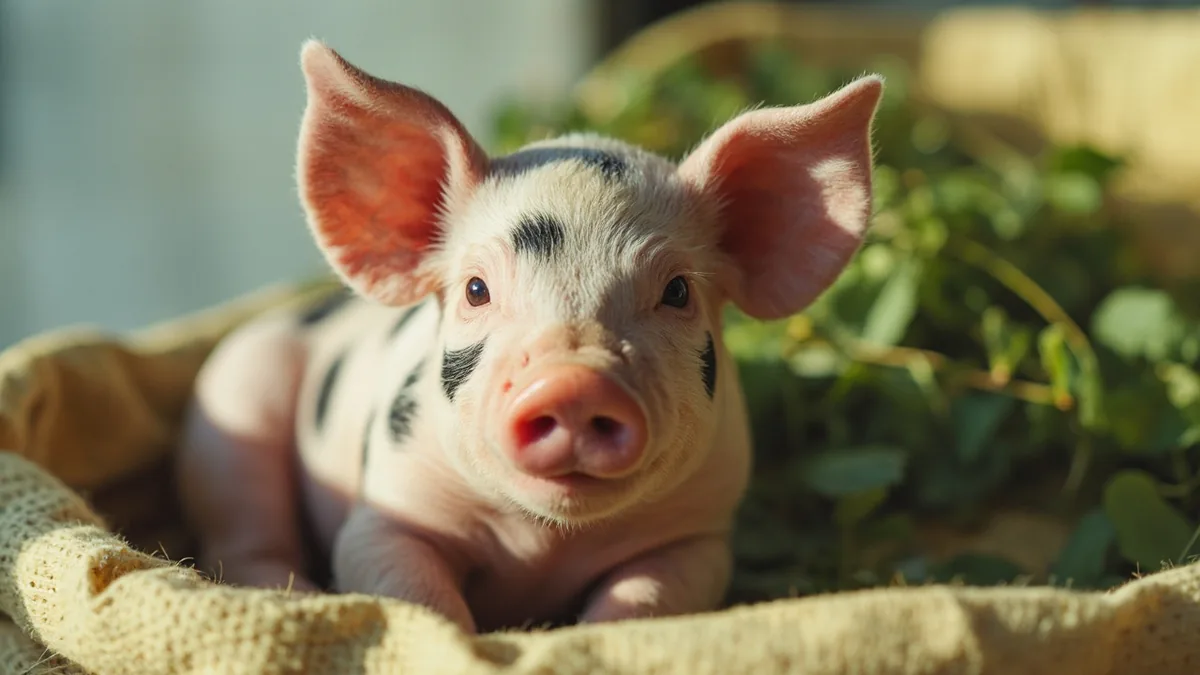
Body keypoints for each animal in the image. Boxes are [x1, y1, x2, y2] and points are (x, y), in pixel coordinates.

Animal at [175, 39, 883, 635]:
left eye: (678, 291)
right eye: (476, 290)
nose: (573, 382)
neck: (541, 544)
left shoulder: (697, 538)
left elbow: (642, 600)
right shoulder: (387, 512)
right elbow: (413, 595)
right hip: (233, 399)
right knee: (245, 533)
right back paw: (293, 597)